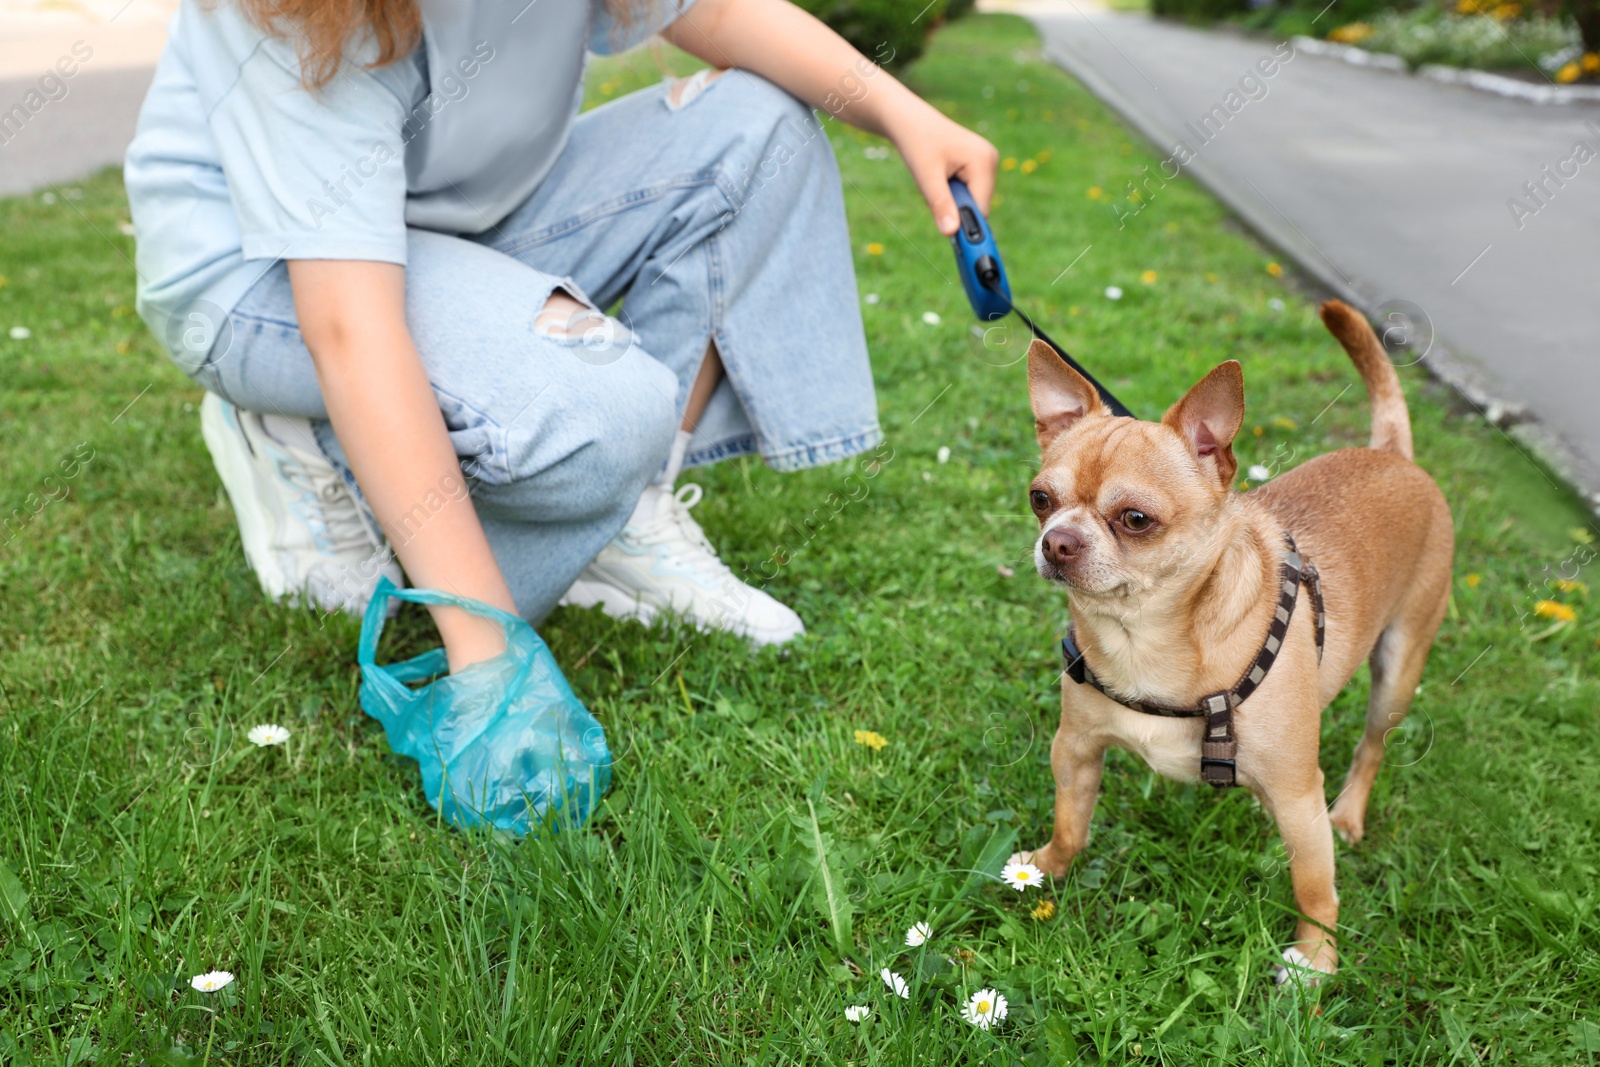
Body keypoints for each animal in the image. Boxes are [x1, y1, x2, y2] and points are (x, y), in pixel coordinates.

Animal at [1017, 300, 1459, 985]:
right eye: (1041, 499)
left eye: (1135, 520)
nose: (1057, 541)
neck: (1146, 637)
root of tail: (1395, 457)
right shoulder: (1076, 750)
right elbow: (1071, 826)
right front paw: (1045, 868)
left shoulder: (1299, 797)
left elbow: (1315, 887)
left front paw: (1315, 961)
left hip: (1397, 672)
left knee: (1370, 751)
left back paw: (1347, 816)